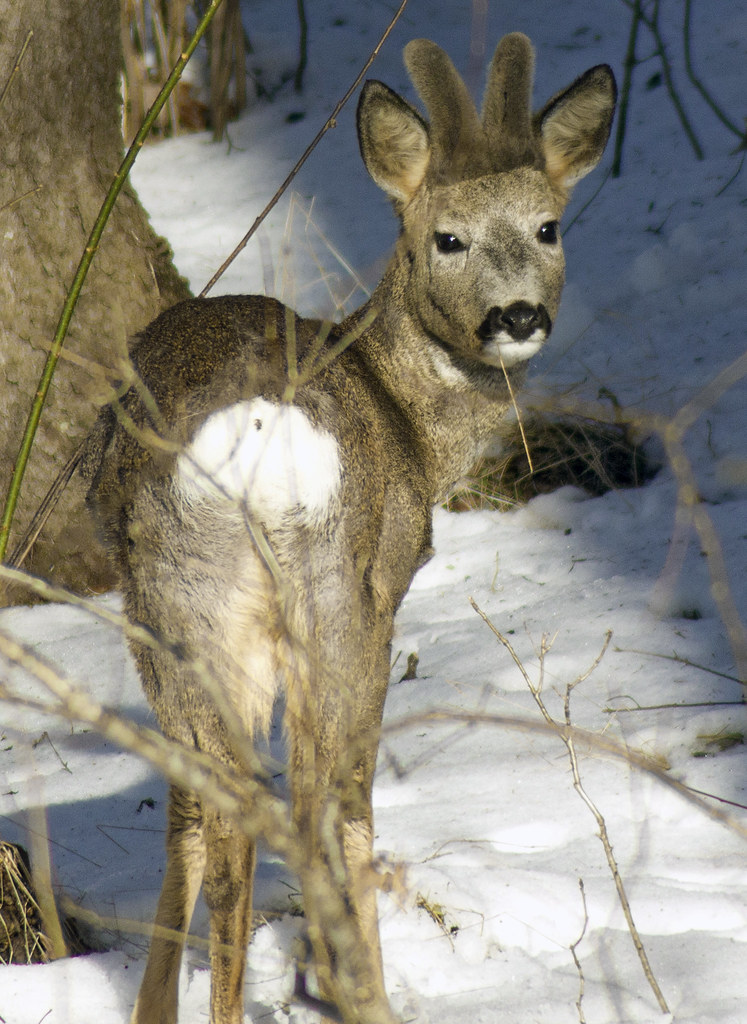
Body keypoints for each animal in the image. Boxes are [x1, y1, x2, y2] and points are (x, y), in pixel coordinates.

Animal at [81, 28, 614, 1024]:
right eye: (446, 237)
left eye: (548, 226)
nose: (517, 315)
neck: (407, 418)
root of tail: (255, 441)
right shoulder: (390, 575)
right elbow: (350, 806)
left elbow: (185, 821)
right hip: (336, 595)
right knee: (319, 801)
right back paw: (357, 992)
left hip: (172, 602)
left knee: (214, 808)